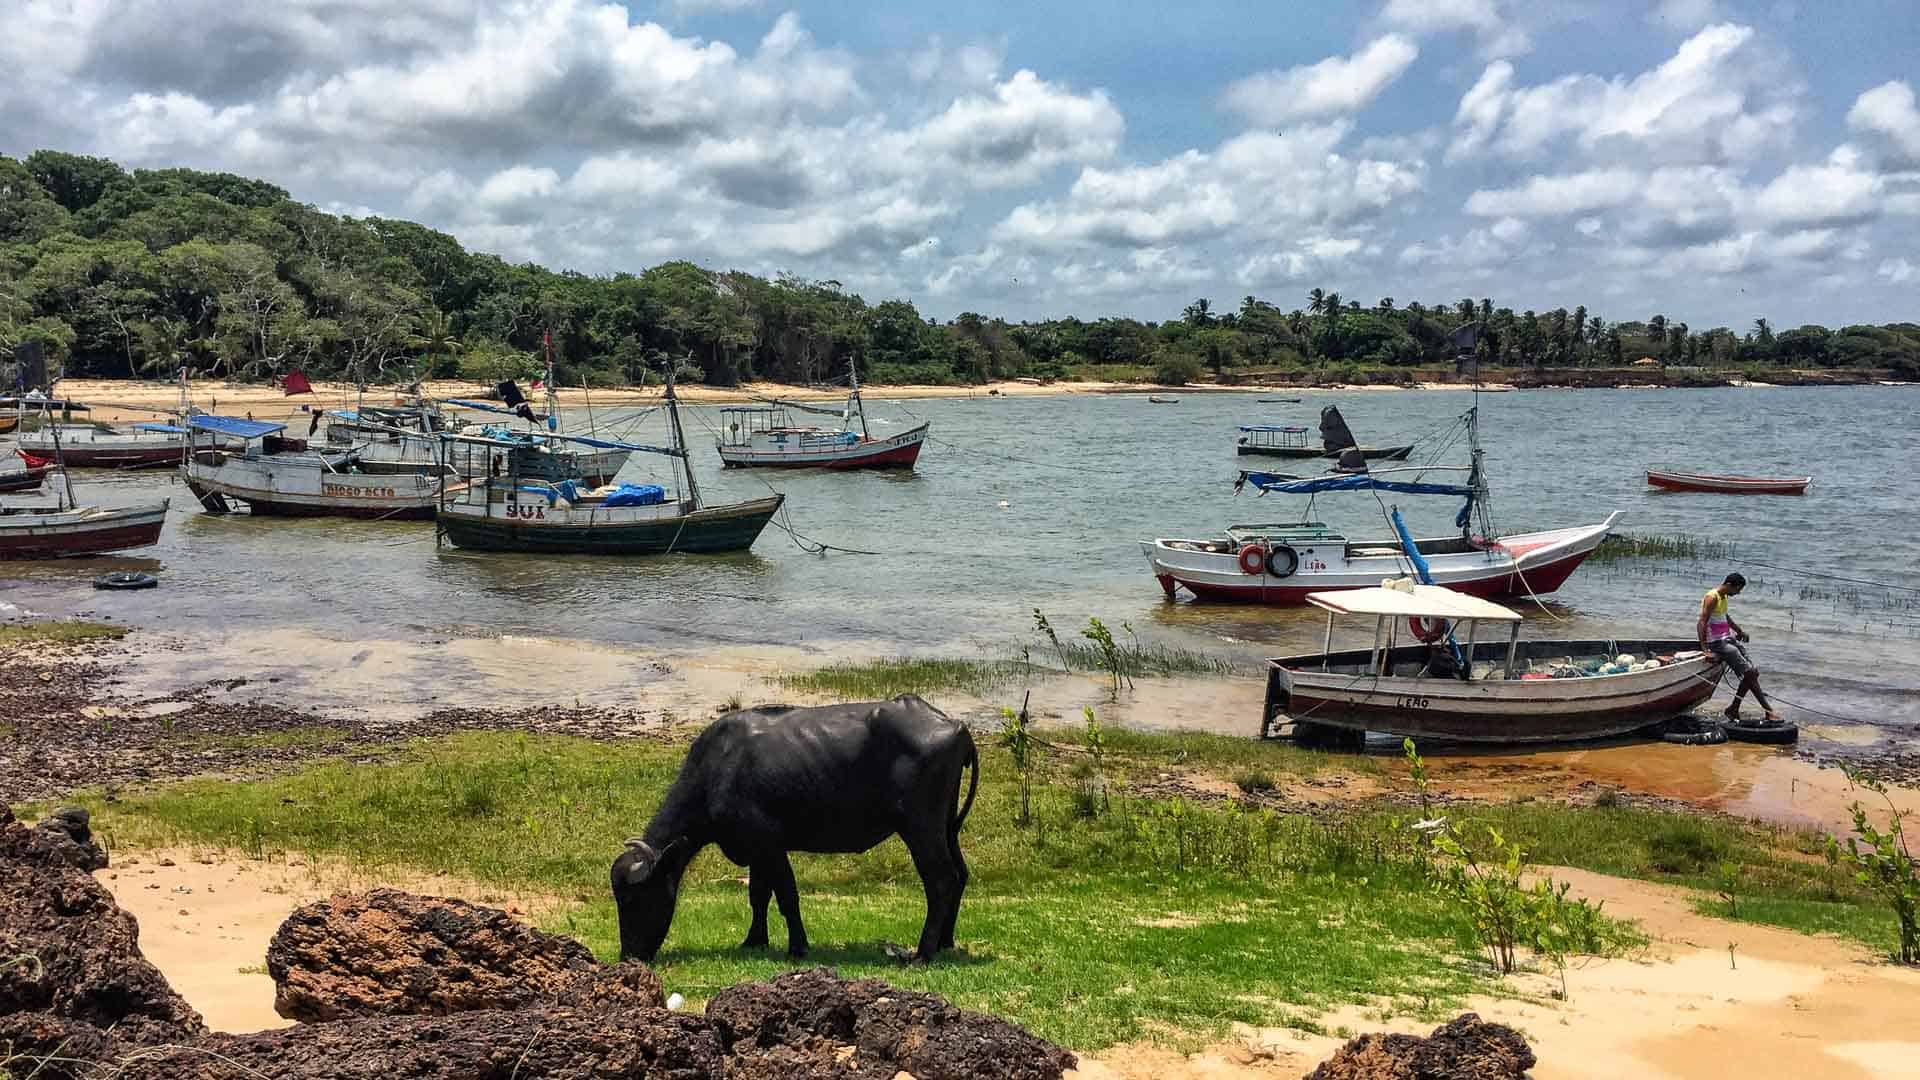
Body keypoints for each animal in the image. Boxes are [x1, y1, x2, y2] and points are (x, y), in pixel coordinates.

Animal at [610, 699, 975, 957]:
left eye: (633, 899)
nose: (630, 955)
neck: (719, 770)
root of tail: (954, 725)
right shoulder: (756, 850)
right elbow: (758, 895)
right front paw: (754, 940)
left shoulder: (769, 845)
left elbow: (787, 895)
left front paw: (798, 946)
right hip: (946, 828)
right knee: (960, 875)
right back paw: (945, 942)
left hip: (921, 828)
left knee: (941, 881)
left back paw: (923, 953)